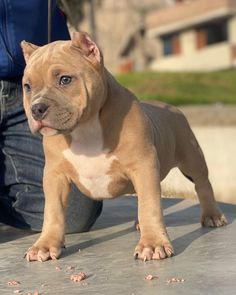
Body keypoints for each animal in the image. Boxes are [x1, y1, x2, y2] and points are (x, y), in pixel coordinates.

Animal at [21, 33, 228, 264]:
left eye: (65, 80)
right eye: (27, 86)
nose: (36, 109)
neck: (85, 128)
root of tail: (170, 106)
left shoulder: (143, 165)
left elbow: (150, 206)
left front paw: (153, 243)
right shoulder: (54, 176)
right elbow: (53, 211)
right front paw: (45, 245)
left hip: (191, 157)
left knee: (202, 184)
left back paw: (212, 215)